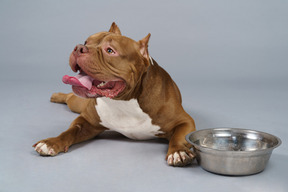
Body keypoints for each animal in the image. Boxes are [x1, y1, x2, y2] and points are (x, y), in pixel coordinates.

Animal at [33, 22, 196, 166]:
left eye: (110, 50)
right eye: (86, 41)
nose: (79, 47)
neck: (124, 101)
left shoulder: (185, 121)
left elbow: (178, 136)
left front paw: (178, 151)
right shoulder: (86, 121)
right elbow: (70, 131)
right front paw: (51, 142)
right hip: (78, 103)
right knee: (69, 97)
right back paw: (57, 96)